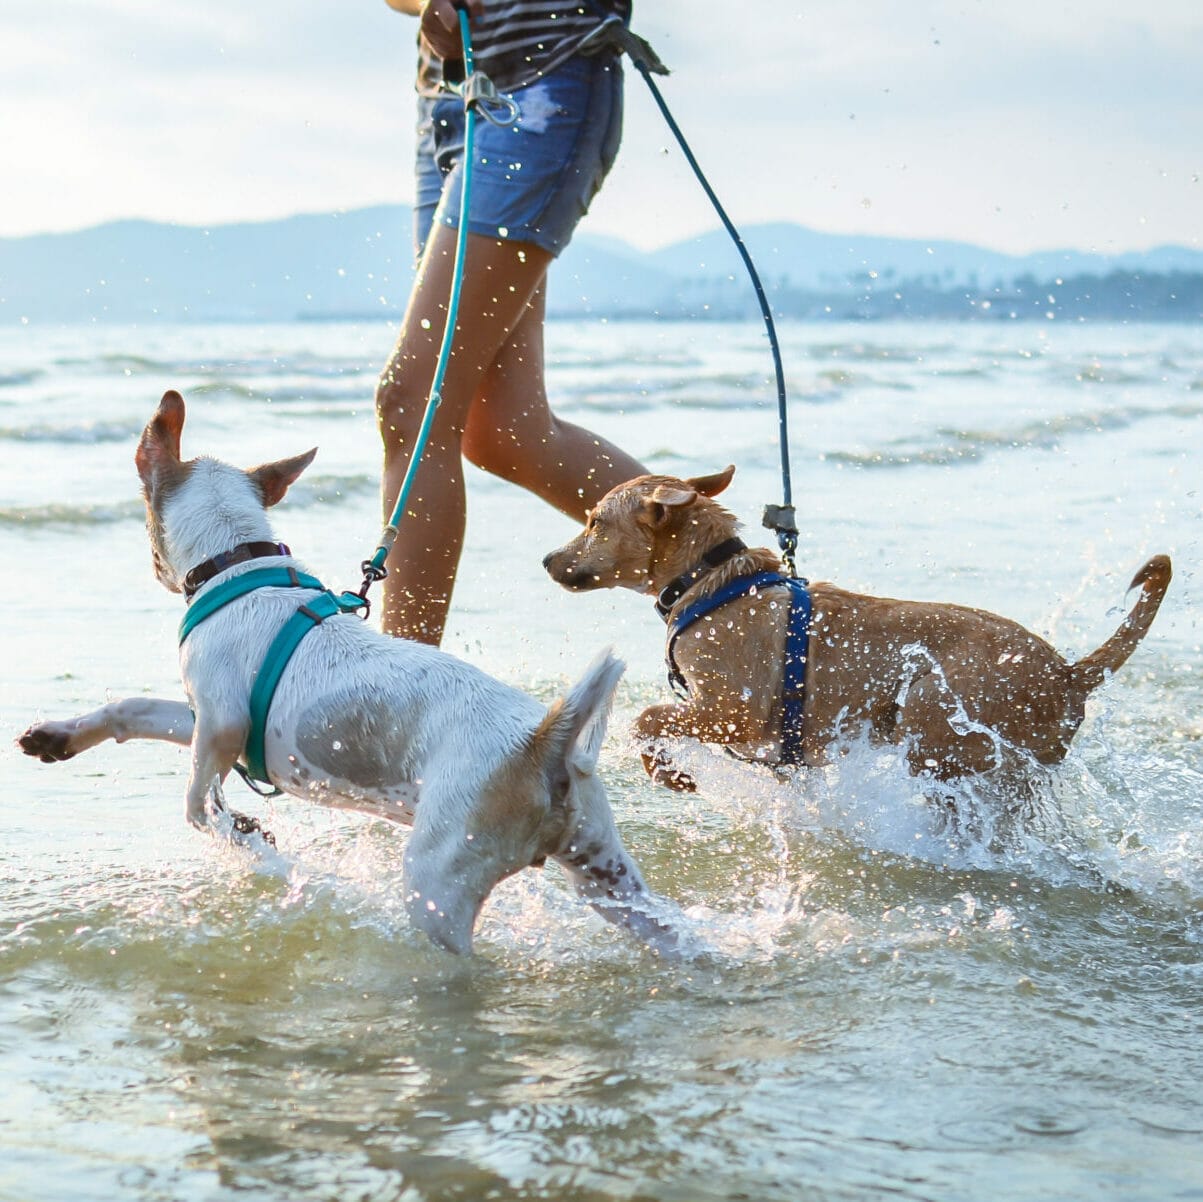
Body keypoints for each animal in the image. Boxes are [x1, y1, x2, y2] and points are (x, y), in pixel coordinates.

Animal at [21, 394, 678, 957]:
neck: (240, 565)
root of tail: (545, 744)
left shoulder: (221, 724)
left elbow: (196, 803)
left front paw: (248, 839)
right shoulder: (207, 717)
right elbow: (132, 710)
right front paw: (59, 737)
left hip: (439, 882)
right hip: (608, 878)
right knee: (671, 931)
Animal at [541, 466, 1169, 789]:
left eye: (594, 522)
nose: (547, 560)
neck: (712, 581)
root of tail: (1069, 674)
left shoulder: (732, 711)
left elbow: (648, 718)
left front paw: (671, 775)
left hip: (932, 708)